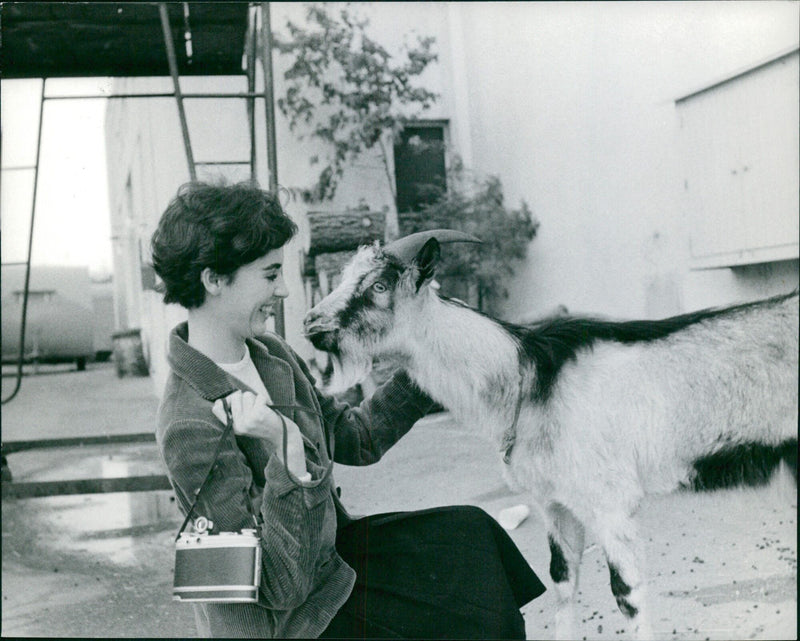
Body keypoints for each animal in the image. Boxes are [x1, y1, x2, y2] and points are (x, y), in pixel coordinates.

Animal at [304, 229, 796, 636]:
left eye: (378, 286)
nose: (310, 324)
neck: (529, 380)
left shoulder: (610, 503)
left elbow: (628, 596)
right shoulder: (555, 503)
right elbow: (562, 583)